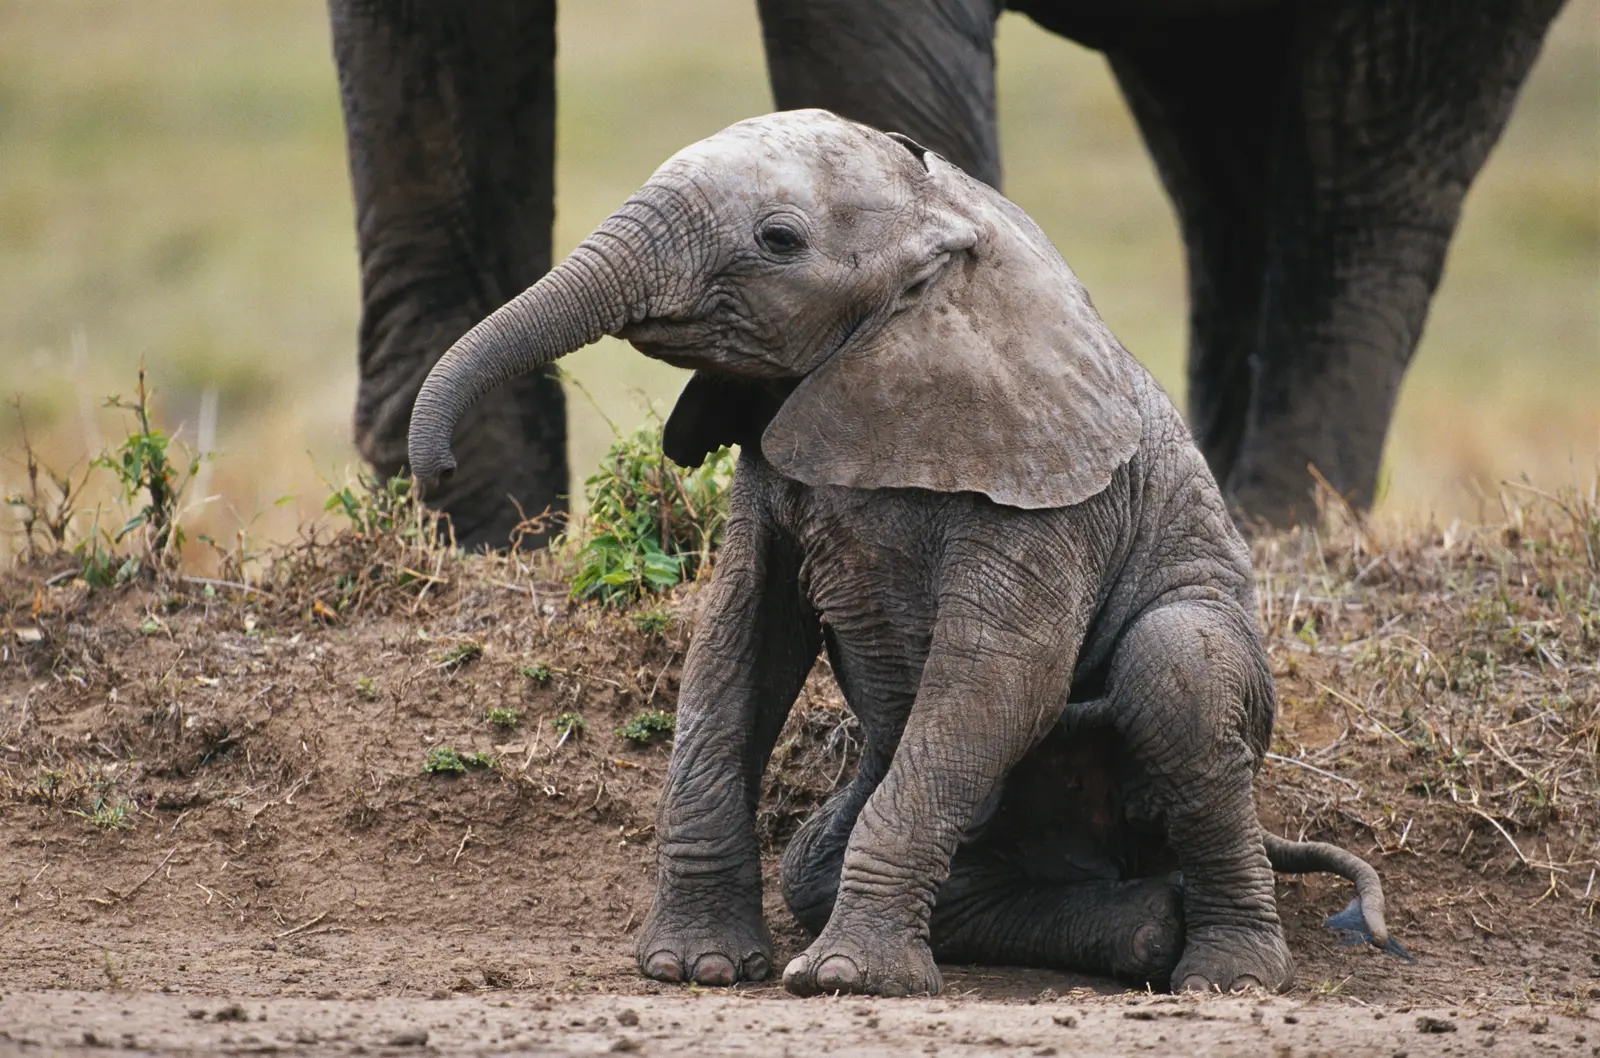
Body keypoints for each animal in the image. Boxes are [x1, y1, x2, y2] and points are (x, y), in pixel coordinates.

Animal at [330, 0, 1565, 545]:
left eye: (780, 242)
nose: (433, 465)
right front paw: (480, 541)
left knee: (1370, 142)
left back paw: (1283, 528)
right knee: (1222, 150)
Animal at [406, 110, 1406, 996]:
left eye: (778, 239)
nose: (435, 471)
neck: (941, 229)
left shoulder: (1046, 489)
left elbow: (1001, 677)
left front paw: (846, 981)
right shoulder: (771, 466)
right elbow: (736, 651)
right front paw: (696, 970)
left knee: (1178, 669)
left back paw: (1226, 975)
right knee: (819, 863)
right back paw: (1147, 929)